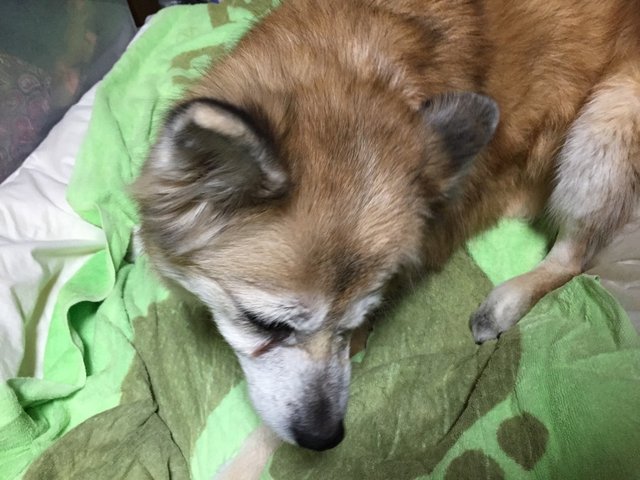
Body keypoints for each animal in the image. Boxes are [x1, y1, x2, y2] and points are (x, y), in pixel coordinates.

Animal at [133, 0, 640, 451]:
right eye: (264, 324)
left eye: (358, 322)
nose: (325, 438)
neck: (348, 66)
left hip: (604, 123)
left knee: (575, 257)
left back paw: (503, 304)